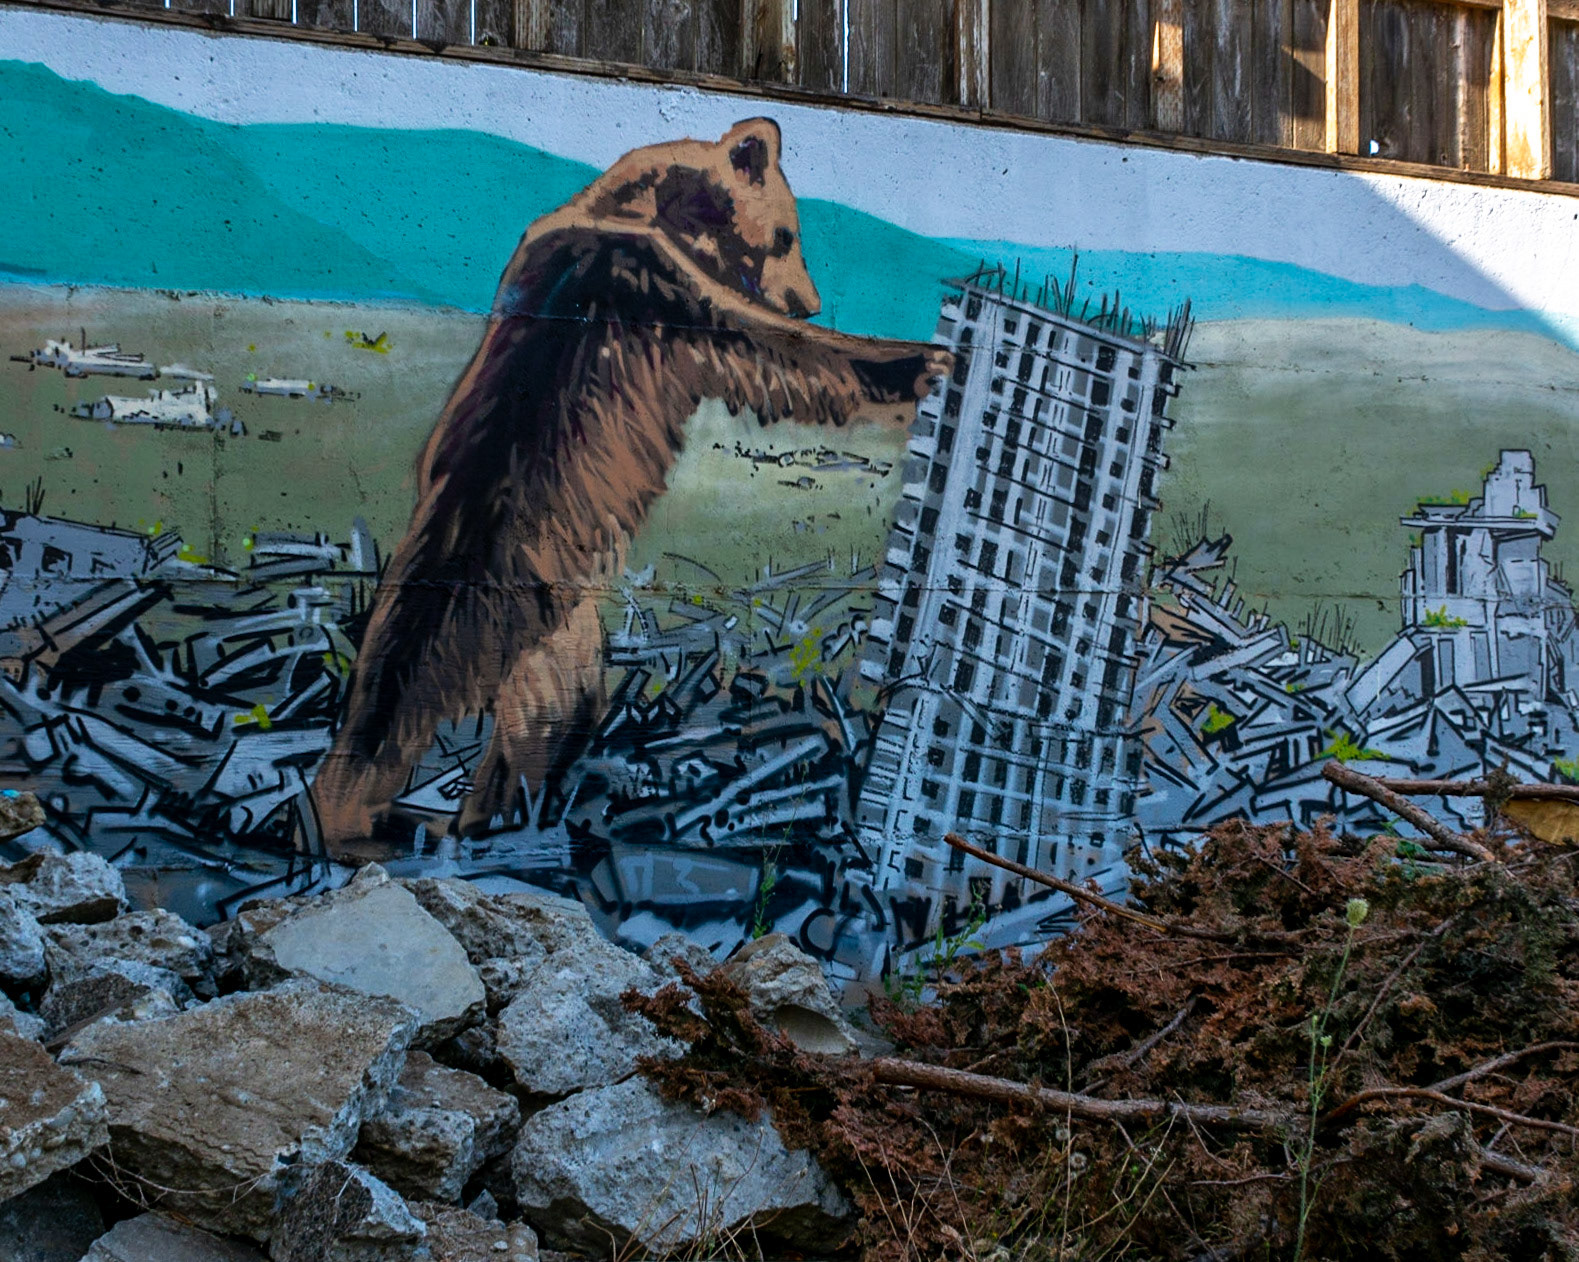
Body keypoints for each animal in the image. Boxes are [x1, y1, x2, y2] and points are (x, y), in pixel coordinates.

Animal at [311, 117, 950, 858]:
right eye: (788, 235)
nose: (810, 300)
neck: (648, 206)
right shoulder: (651, 282)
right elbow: (775, 347)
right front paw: (919, 361)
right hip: (545, 630)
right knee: (535, 716)